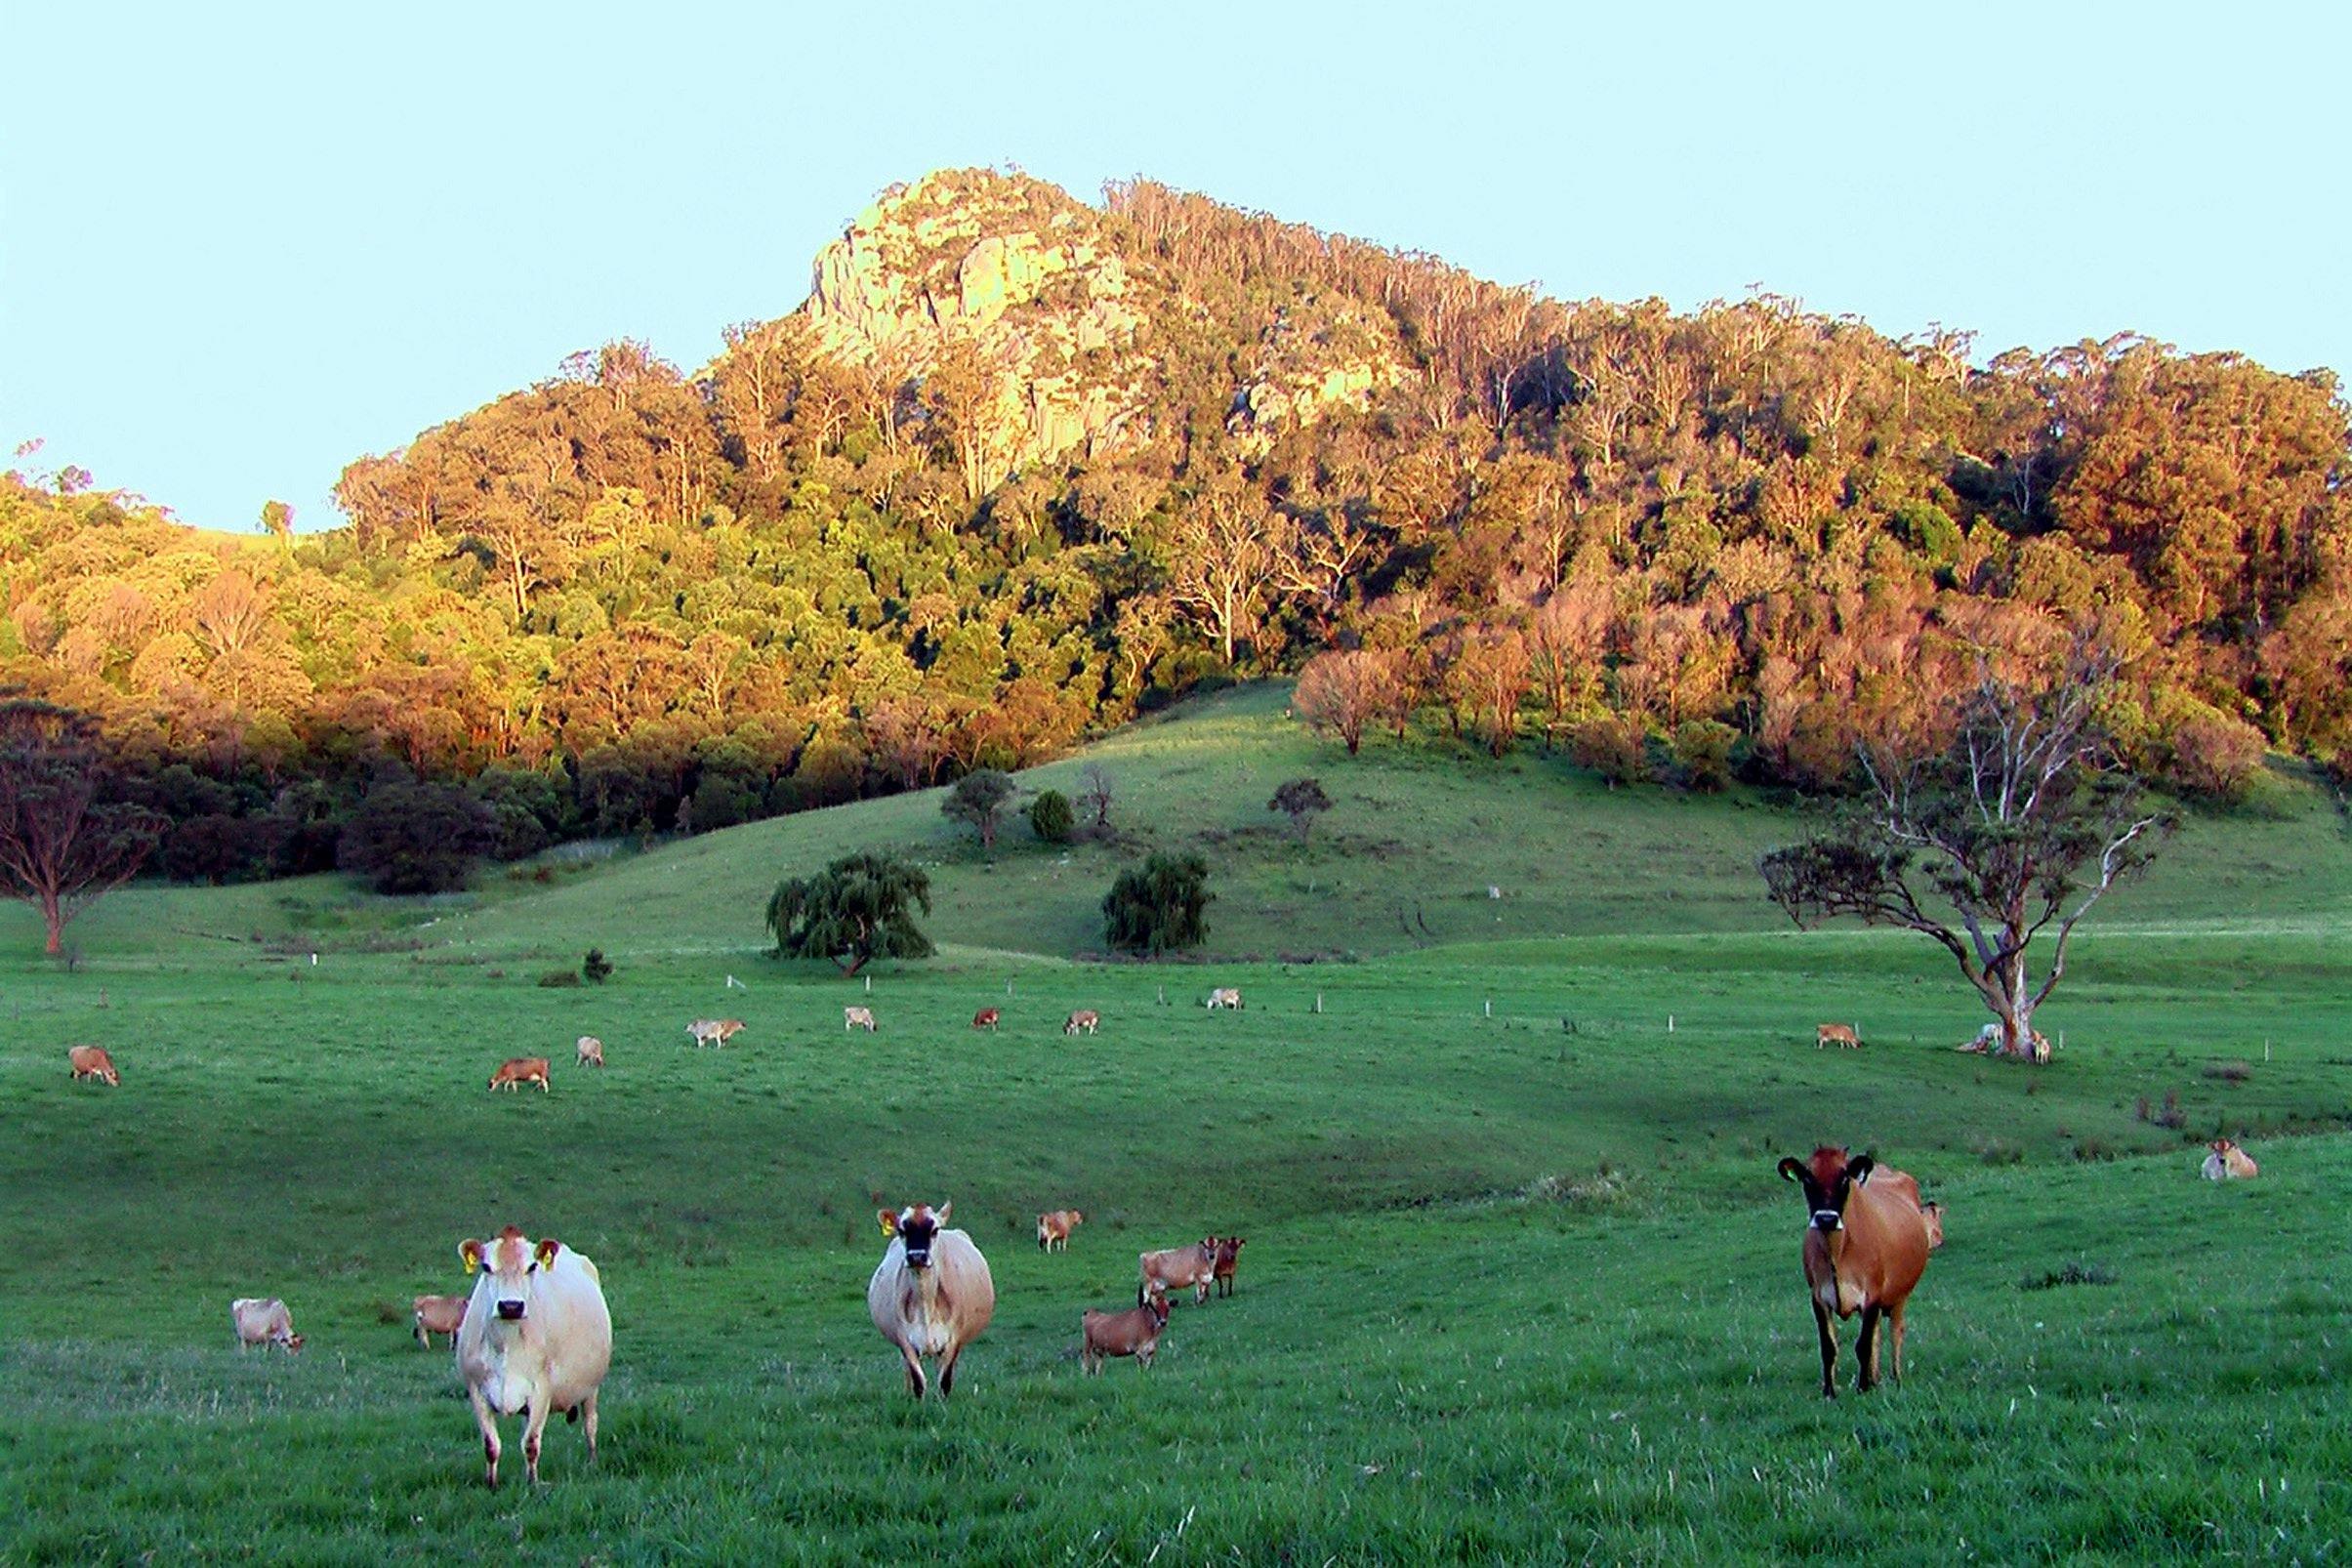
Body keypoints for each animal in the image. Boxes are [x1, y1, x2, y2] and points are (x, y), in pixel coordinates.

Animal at [455, 1226, 612, 1488]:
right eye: (486, 1267)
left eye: (532, 1266)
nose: (510, 1306)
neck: (507, 1344)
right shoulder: (476, 1390)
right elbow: (491, 1445)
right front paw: (492, 1484)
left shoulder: (541, 1390)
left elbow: (530, 1443)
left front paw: (532, 1483)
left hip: (591, 1389)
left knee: (591, 1425)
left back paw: (592, 1463)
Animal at [869, 1202, 994, 1399]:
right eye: (902, 1230)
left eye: (934, 1230)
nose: (917, 1256)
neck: (925, 1300)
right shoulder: (904, 1340)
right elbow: (918, 1381)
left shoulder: (953, 1340)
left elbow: (945, 1381)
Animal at [1778, 1146, 1932, 1398]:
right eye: (1808, 1178)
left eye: (1844, 1179)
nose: (1826, 1218)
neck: (1838, 1253)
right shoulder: (1818, 1297)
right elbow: (1829, 1347)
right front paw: (1830, 1391)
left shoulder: (1873, 1294)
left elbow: (1863, 1345)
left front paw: (1862, 1387)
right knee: (1877, 1335)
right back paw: (1876, 1378)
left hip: (1900, 1295)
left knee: (1895, 1332)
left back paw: (1895, 1378)